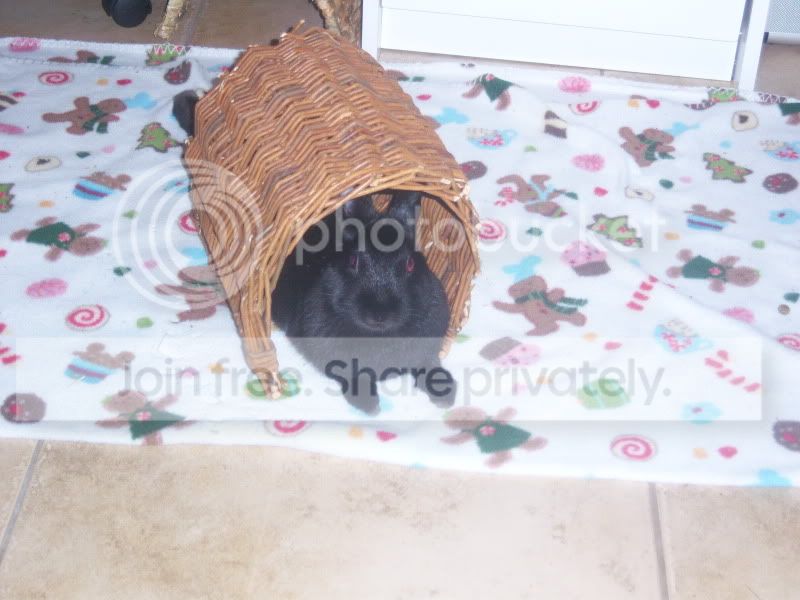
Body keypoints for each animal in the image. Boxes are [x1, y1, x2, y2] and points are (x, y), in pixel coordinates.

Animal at [272, 191, 456, 414]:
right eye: (353, 261)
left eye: (411, 264)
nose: (379, 314)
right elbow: (352, 374)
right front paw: (369, 404)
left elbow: (428, 363)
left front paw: (445, 393)